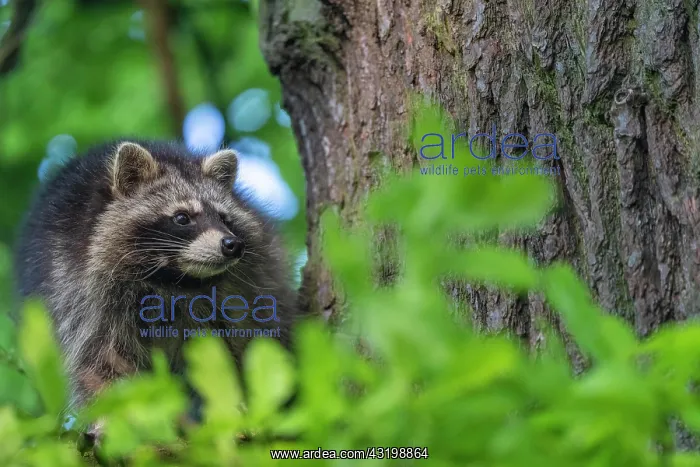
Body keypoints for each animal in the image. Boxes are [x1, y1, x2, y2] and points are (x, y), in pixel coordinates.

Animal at [14, 140, 301, 417]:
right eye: (182, 217)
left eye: (224, 218)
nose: (232, 245)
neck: (174, 279)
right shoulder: (81, 295)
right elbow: (99, 360)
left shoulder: (245, 288)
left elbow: (243, 343)